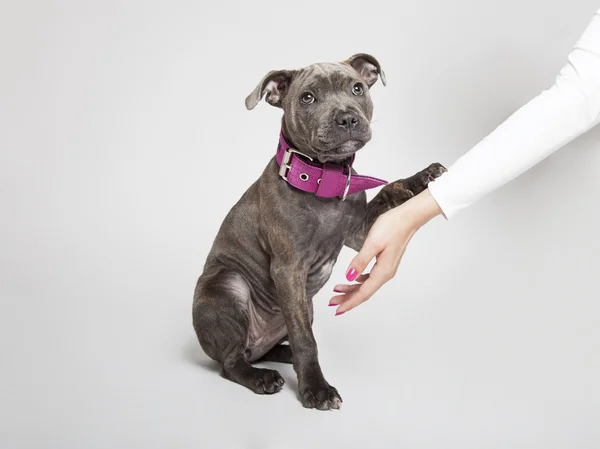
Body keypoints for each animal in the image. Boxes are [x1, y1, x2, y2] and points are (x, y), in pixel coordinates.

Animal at [192, 53, 446, 410]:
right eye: (307, 98)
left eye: (357, 88)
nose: (347, 118)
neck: (323, 177)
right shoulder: (288, 270)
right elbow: (304, 339)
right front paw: (316, 387)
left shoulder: (360, 231)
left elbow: (389, 190)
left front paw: (423, 177)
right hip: (230, 286)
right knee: (232, 360)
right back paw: (261, 376)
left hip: (305, 307)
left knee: (263, 347)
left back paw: (280, 355)